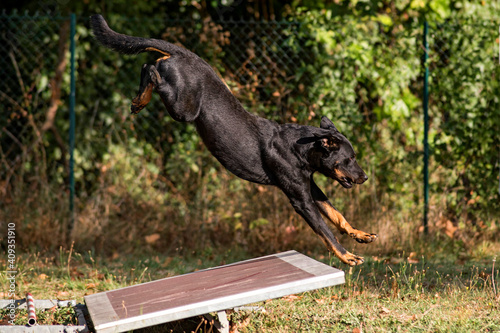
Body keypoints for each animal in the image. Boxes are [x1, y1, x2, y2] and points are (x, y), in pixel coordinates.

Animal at [91, 14, 378, 264]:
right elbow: (326, 231)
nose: (365, 177)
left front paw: (360, 234)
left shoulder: (311, 187)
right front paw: (348, 256)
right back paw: (141, 99)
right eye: (350, 158)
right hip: (184, 109)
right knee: (150, 68)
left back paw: (140, 98)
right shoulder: (301, 199)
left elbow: (337, 215)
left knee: (152, 63)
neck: (302, 151)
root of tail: (185, 53)